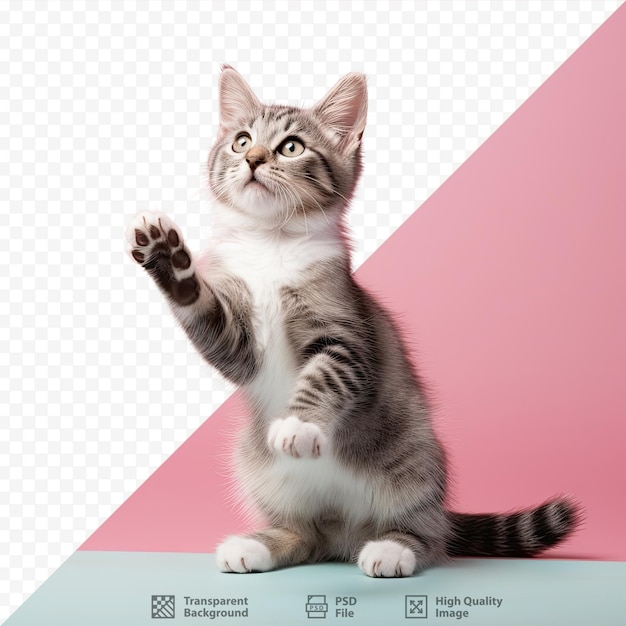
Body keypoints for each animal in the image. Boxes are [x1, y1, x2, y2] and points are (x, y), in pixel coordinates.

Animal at [124, 64, 576, 576]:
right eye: (241, 141)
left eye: (291, 146)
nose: (254, 159)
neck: (270, 245)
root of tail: (343, 529)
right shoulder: (238, 341)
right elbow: (208, 317)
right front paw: (168, 259)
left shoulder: (346, 329)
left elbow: (328, 372)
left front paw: (299, 425)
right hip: (259, 469)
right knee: (304, 536)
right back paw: (259, 545)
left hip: (417, 460)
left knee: (429, 532)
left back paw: (394, 547)